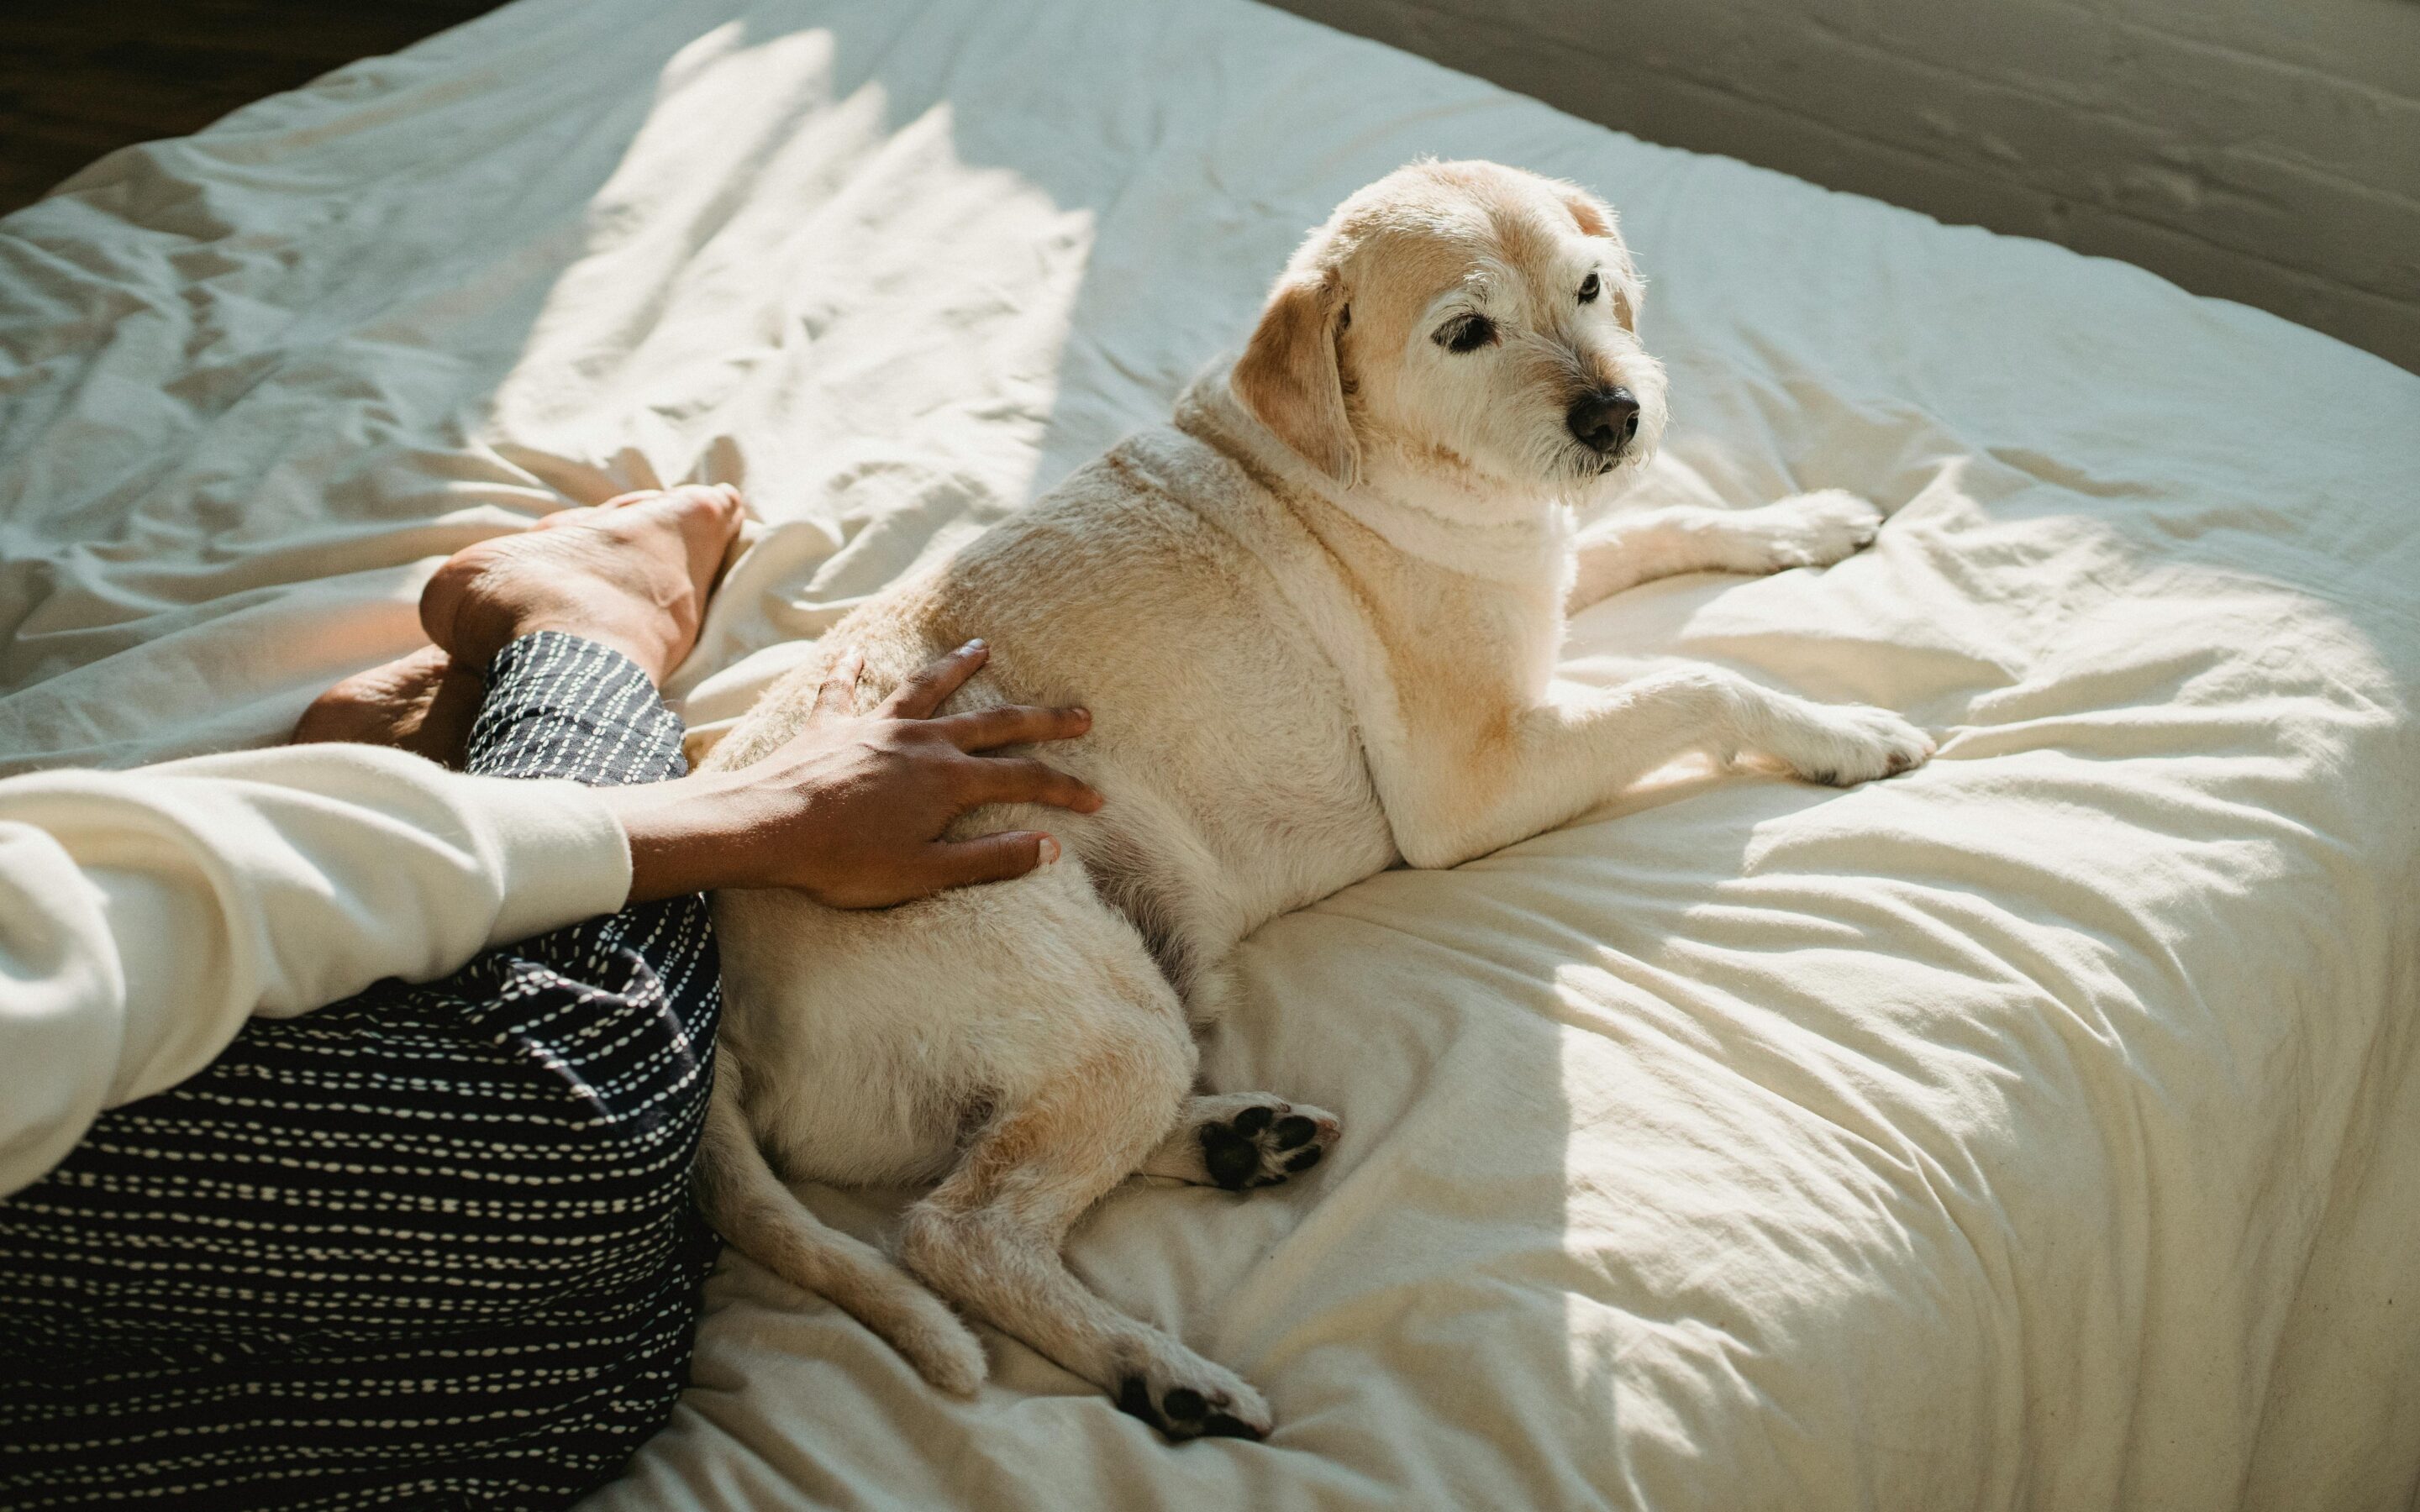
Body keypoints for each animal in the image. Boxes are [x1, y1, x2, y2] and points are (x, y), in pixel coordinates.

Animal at [697, 155, 1926, 1441]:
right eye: (1466, 333)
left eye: (1590, 288)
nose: (1614, 414)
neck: (1372, 464)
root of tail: (722, 976)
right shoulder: (1473, 788)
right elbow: (1701, 683)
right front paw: (1842, 732)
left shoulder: (1544, 573)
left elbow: (1670, 523)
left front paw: (1801, 520)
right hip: (1099, 1005)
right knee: (957, 1228)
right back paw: (1164, 1371)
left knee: (988, 1163)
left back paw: (1239, 1145)